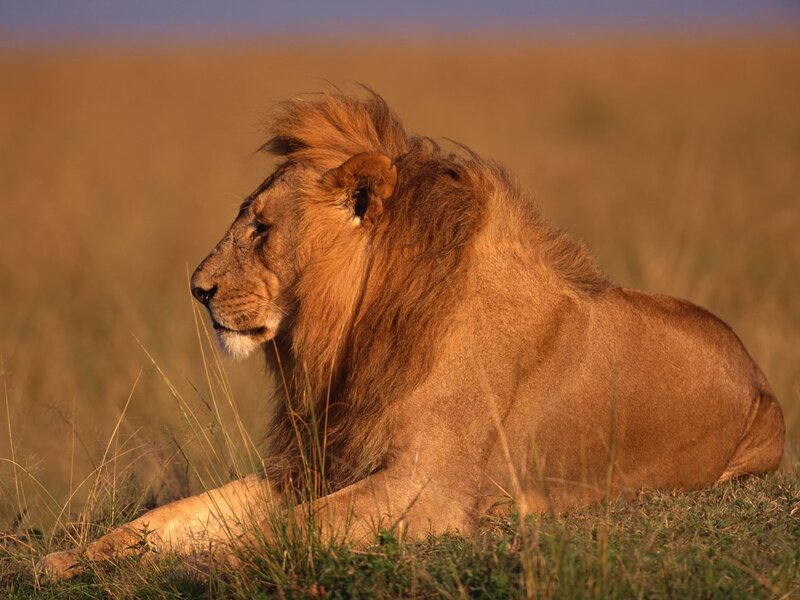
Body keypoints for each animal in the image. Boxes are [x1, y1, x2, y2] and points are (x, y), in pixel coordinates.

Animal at [40, 90, 785, 580]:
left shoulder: (429, 490)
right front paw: (71, 558)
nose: (198, 289)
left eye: (261, 228)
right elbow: (178, 515)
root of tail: (758, 374)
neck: (358, 332)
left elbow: (281, 532)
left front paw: (193, 569)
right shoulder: (319, 464)